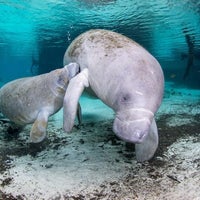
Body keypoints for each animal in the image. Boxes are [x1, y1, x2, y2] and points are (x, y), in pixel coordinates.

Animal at [63, 28, 164, 162]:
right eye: (124, 98)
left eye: (156, 106)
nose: (135, 135)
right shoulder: (86, 68)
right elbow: (73, 93)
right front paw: (67, 129)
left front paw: (144, 157)